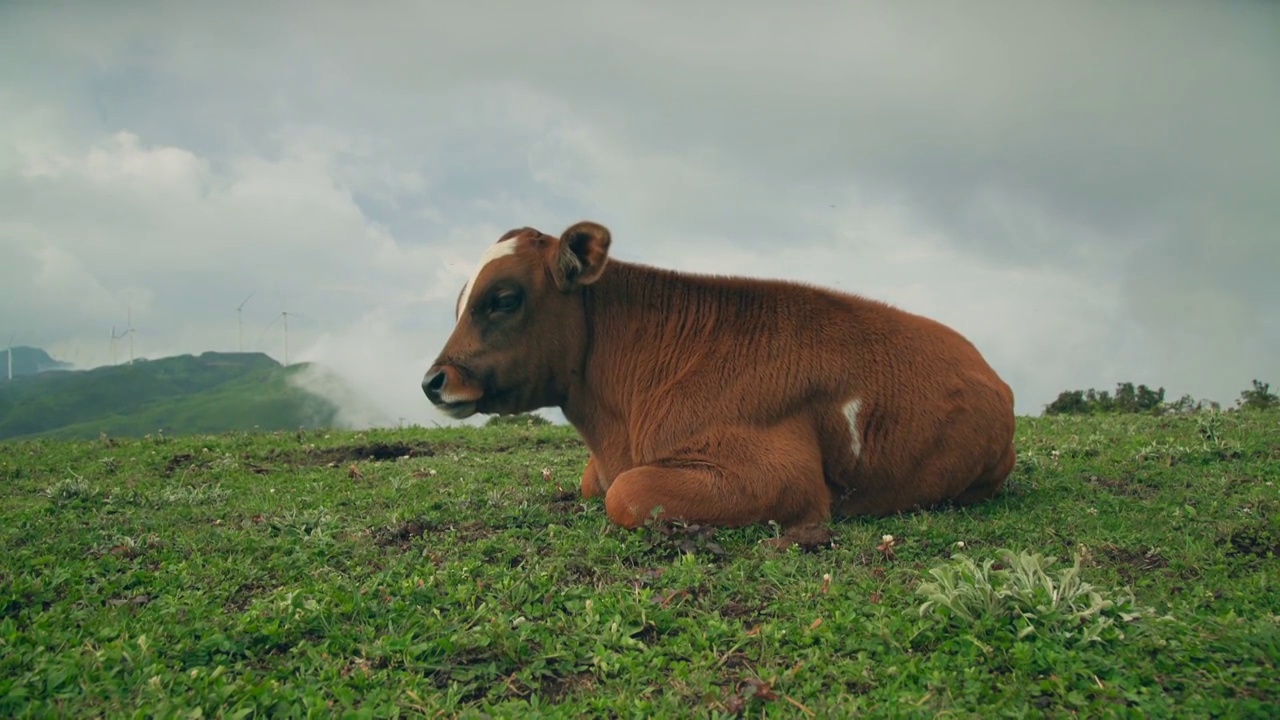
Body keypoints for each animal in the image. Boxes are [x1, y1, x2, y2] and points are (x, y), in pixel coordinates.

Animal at [424, 221, 1013, 545]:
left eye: (503, 298)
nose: (434, 381)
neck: (617, 426)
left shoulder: (782, 476)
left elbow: (624, 493)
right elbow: (597, 483)